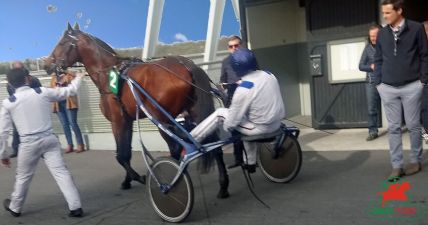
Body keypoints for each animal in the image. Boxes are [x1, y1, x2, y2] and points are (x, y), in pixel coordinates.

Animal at [44, 22, 229, 198]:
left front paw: (138, 177)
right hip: (195, 112)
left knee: (176, 148)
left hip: (161, 118)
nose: (47, 64)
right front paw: (127, 180)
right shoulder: (127, 120)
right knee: (215, 145)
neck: (110, 74)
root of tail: (188, 65)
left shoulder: (117, 121)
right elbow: (127, 152)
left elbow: (120, 155)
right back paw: (222, 185)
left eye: (62, 42)